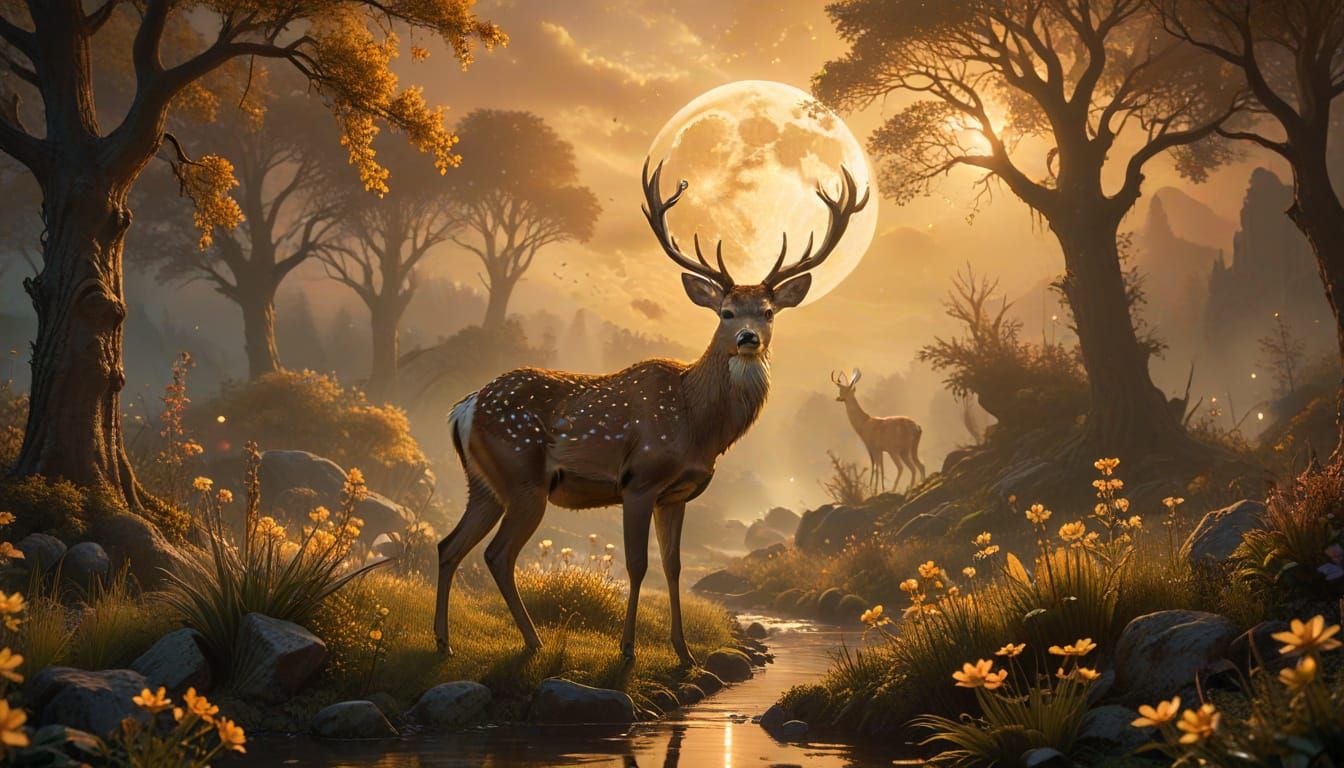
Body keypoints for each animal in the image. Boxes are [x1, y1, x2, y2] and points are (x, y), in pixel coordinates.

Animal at [433, 159, 869, 664]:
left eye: (768, 311)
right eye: (725, 312)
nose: (748, 339)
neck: (698, 425)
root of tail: (463, 409)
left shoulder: (676, 495)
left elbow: (674, 566)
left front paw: (684, 651)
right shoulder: (639, 480)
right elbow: (638, 565)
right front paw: (627, 649)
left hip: (484, 484)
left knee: (449, 545)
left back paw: (444, 641)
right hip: (523, 478)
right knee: (497, 554)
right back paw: (532, 640)